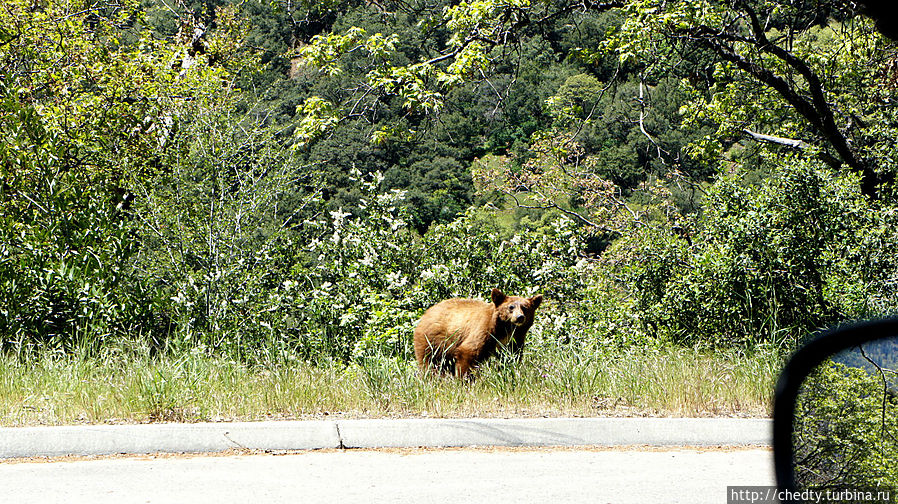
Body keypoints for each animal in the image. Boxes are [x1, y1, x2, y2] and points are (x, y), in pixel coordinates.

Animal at [412, 288, 540, 378]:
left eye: (525, 308)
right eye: (511, 307)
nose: (519, 317)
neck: (505, 329)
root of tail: (425, 315)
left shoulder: (515, 339)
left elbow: (511, 356)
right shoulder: (484, 329)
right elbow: (469, 351)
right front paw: (465, 379)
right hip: (432, 340)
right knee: (430, 362)